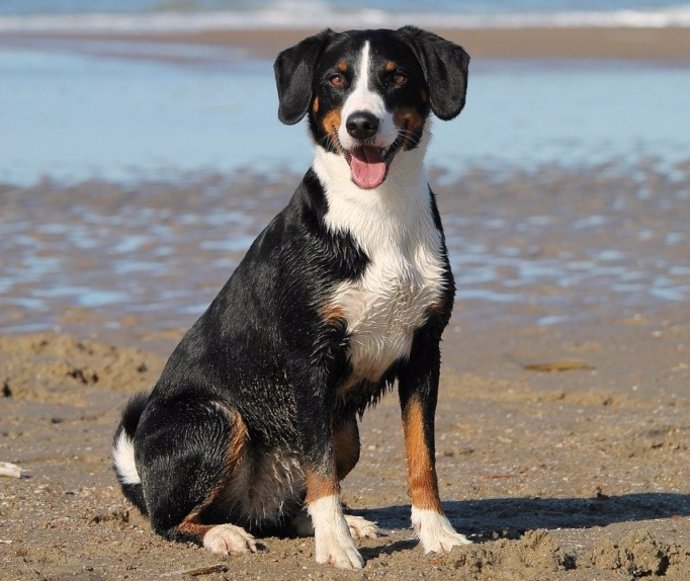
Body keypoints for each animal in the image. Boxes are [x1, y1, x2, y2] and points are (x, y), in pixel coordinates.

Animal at [111, 26, 468, 568]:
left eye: (396, 76)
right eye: (336, 80)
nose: (361, 123)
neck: (377, 215)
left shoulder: (424, 352)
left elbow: (420, 457)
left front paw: (436, 533)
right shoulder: (309, 361)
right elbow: (320, 472)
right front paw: (336, 546)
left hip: (346, 434)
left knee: (285, 508)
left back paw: (339, 522)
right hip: (217, 417)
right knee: (170, 519)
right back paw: (227, 534)